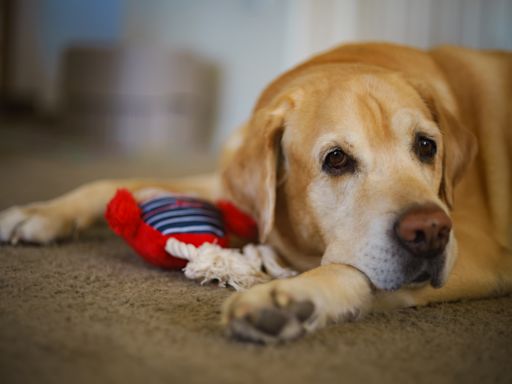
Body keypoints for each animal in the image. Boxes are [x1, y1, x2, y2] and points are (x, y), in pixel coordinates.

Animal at [1, 42, 512, 342]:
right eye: (337, 159)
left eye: (427, 146)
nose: (430, 231)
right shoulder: (230, 182)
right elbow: (113, 182)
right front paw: (40, 212)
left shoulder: (477, 250)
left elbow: (349, 267)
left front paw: (286, 299)